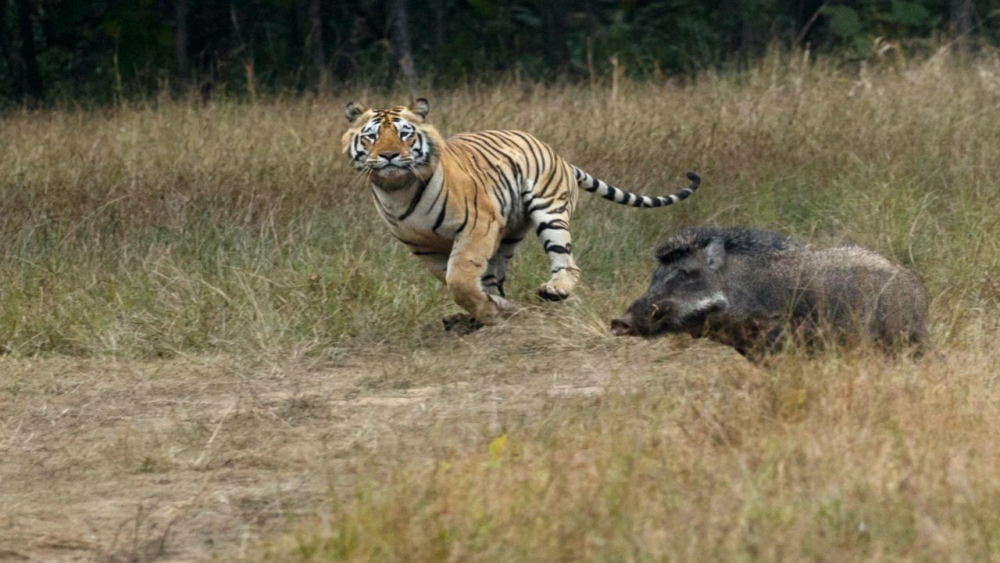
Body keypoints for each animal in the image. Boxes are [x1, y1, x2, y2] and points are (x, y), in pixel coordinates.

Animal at [344, 97, 704, 326]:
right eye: (372, 136)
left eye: (404, 133)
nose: (389, 156)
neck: (398, 189)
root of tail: (558, 154)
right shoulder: (423, 248)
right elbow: (456, 280)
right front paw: (490, 309)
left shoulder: (478, 225)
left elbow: (459, 278)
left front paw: (489, 314)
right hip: (508, 233)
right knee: (495, 275)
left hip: (549, 212)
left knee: (566, 262)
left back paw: (554, 290)